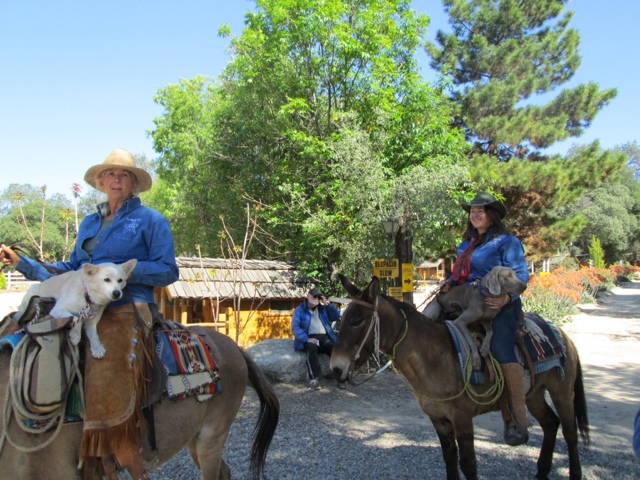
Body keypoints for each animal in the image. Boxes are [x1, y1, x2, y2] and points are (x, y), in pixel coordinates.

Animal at [330, 275, 589, 480]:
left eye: (356, 321)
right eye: (342, 319)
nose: (335, 368)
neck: (433, 356)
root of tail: (562, 335)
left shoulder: (462, 419)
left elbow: (468, 464)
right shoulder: (439, 421)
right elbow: (450, 459)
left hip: (561, 392)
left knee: (570, 432)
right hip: (533, 394)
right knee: (550, 423)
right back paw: (542, 471)